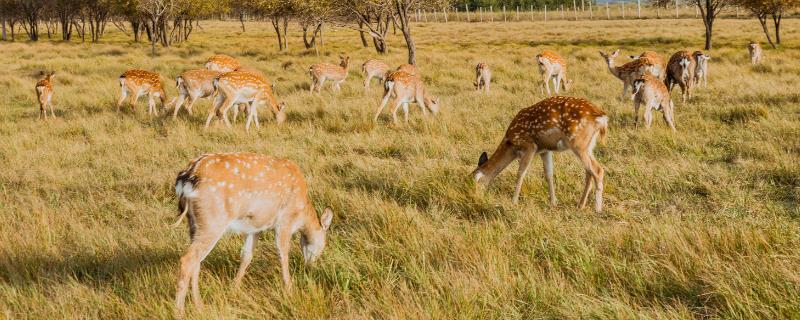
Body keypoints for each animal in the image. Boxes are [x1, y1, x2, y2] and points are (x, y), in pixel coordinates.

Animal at [173, 152, 336, 318]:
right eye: (323, 245)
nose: (310, 266)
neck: (302, 213)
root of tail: (188, 177)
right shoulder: (285, 221)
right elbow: (283, 253)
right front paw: (289, 289)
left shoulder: (255, 226)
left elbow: (247, 255)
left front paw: (234, 288)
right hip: (213, 220)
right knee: (187, 260)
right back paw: (179, 312)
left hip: (194, 223)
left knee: (196, 261)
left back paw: (199, 305)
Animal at [468, 95, 608, 210]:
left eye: (474, 183)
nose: (474, 199)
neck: (511, 144)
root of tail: (601, 117)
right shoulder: (544, 150)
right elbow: (549, 174)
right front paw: (553, 202)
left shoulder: (530, 146)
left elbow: (521, 173)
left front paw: (513, 202)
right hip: (588, 145)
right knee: (589, 171)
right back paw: (580, 205)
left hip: (578, 143)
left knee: (598, 170)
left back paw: (597, 209)